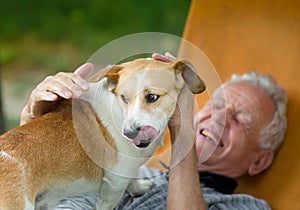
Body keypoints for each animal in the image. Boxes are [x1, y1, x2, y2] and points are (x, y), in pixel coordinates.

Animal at [0, 57, 205, 210]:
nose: (128, 133)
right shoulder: (114, 184)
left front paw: (138, 187)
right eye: (124, 98)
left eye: (152, 97)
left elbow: (133, 176)